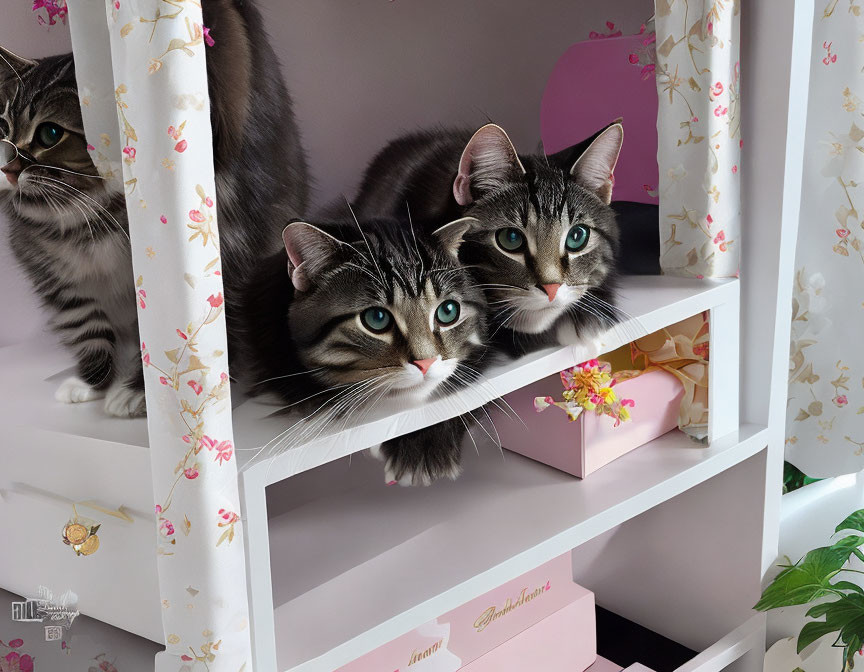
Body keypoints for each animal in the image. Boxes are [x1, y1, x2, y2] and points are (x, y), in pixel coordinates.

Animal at [0, 0, 308, 414]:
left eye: (50, 134)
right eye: (4, 131)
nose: (8, 168)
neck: (84, 218)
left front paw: (136, 392)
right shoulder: (59, 282)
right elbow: (88, 330)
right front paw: (92, 384)